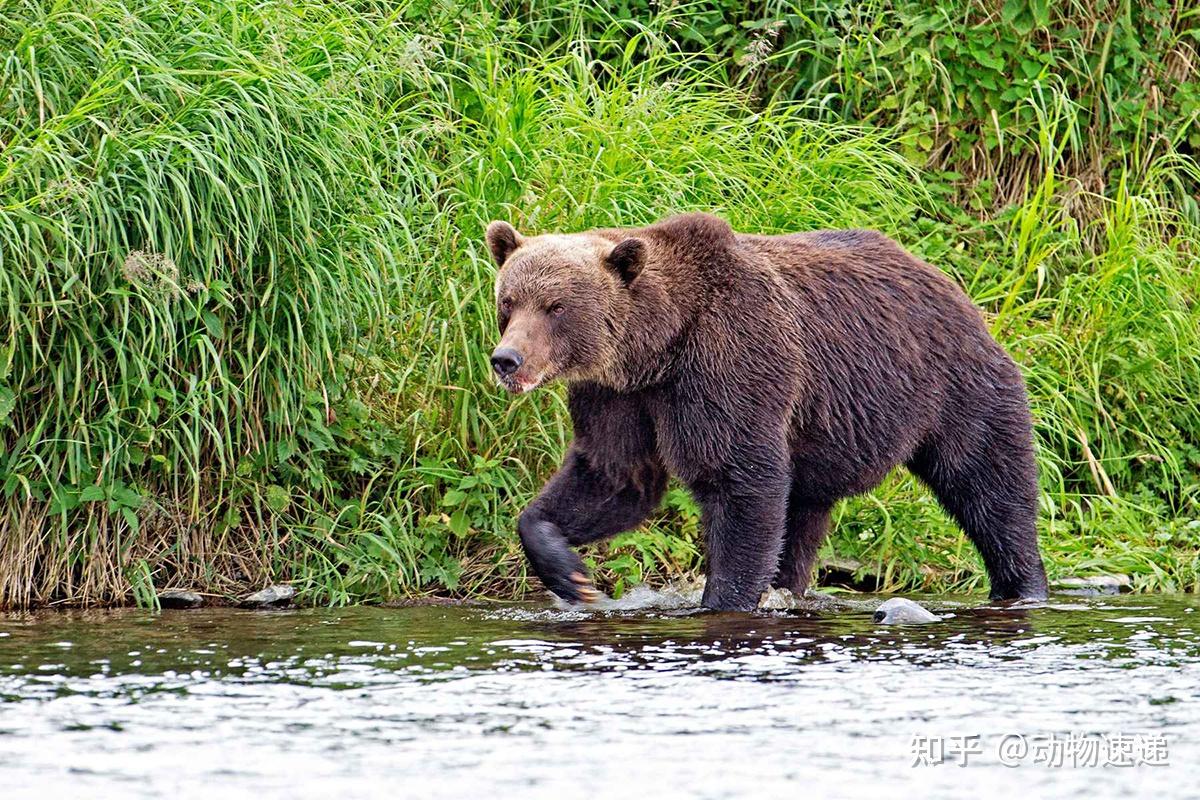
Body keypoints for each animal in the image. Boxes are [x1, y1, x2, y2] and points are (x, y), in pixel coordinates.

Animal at [487, 212, 1051, 614]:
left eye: (556, 307)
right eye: (509, 302)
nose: (507, 359)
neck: (658, 349)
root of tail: (951, 284)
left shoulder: (731, 363)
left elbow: (740, 480)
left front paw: (722, 600)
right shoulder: (615, 397)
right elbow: (614, 476)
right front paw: (573, 575)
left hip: (951, 384)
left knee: (989, 482)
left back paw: (1022, 584)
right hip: (825, 436)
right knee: (802, 515)